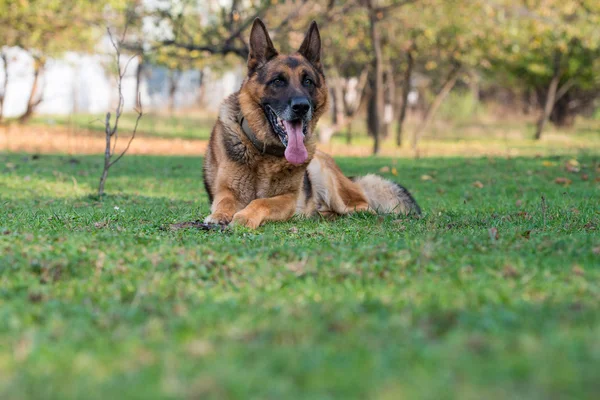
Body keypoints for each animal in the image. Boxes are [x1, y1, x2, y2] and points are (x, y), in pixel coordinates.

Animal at [204, 18, 420, 228]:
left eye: (307, 81)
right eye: (278, 81)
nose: (301, 107)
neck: (265, 154)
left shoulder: (288, 199)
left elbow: (261, 201)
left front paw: (245, 216)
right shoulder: (227, 190)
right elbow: (225, 202)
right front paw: (219, 215)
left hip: (326, 176)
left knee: (364, 208)